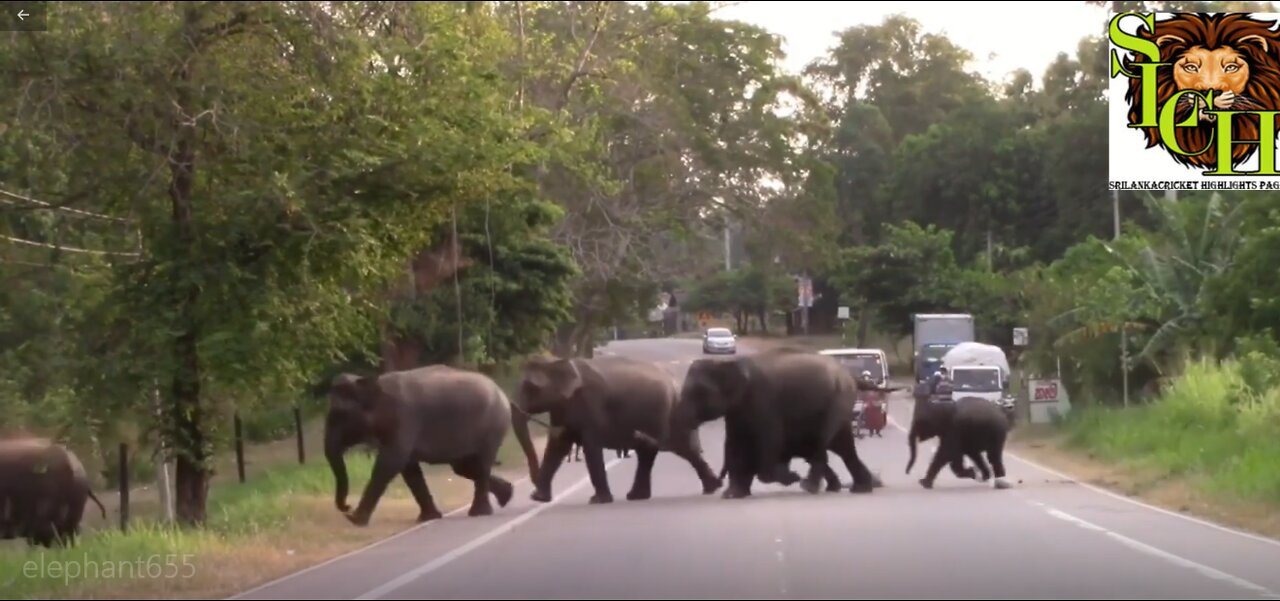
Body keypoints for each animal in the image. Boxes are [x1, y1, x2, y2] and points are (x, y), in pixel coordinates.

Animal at [325, 360, 540, 526]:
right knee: (464, 467)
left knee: (480, 463)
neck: (372, 382)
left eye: (339, 415)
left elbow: (391, 462)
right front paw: (428, 518)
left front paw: (355, 520)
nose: (347, 507)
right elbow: (408, 468)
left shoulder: (405, 418)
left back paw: (479, 512)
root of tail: (503, 394)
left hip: (492, 426)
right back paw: (506, 495)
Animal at [517, 355, 721, 503]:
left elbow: (591, 447)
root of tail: (676, 383)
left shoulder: (592, 404)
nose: (533, 481)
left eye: (530, 387)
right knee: (650, 451)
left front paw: (598, 501)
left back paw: (713, 487)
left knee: (680, 447)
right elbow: (558, 446)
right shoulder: (562, 407)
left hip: (667, 414)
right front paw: (538, 498)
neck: (558, 362)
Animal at [670, 347, 880, 498]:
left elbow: (770, 439)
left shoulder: (764, 400)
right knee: (844, 447)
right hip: (841, 402)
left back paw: (808, 486)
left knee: (824, 441)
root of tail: (851, 376)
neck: (731, 364)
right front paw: (733, 495)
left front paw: (791, 477)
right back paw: (861, 488)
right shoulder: (737, 410)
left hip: (837, 400)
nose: (719, 483)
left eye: (698, 392)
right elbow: (734, 443)